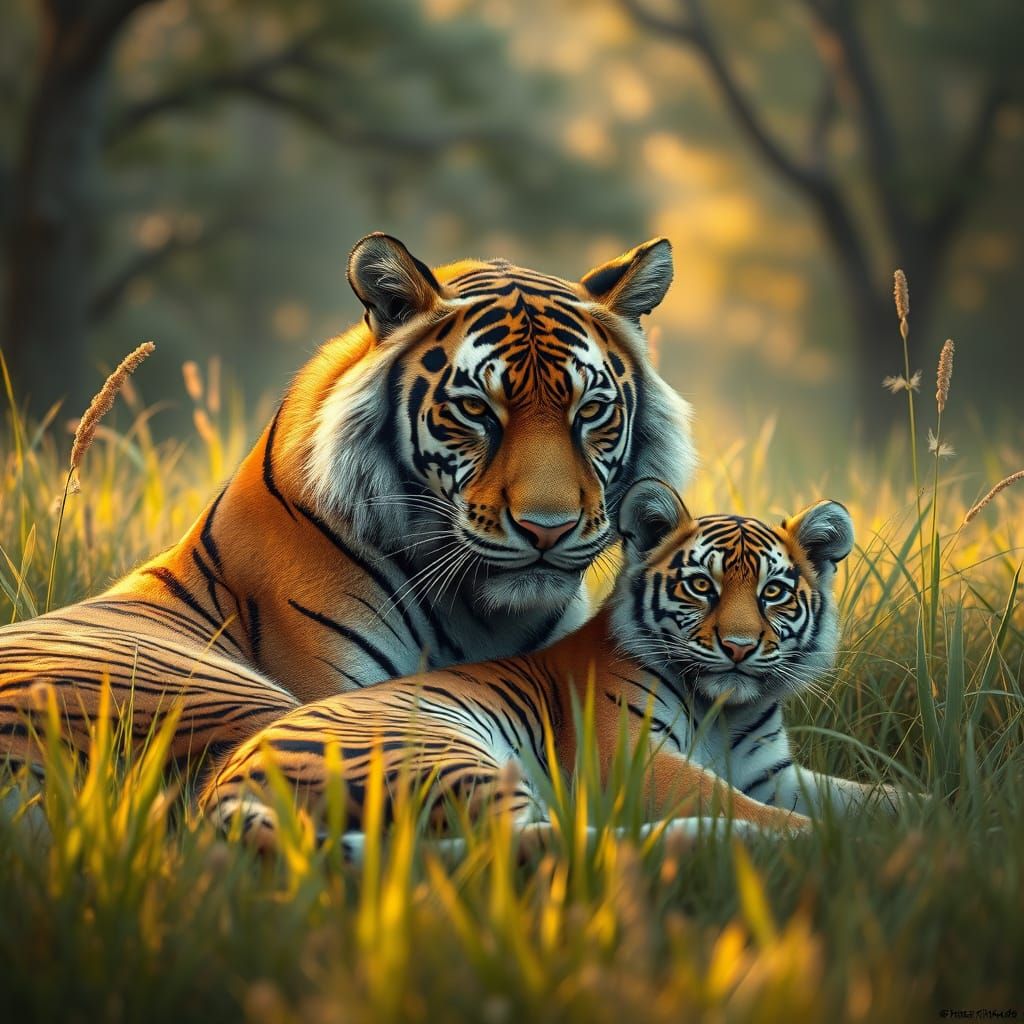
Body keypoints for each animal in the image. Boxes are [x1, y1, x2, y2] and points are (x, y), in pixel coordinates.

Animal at [199, 479, 909, 857]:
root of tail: (219, 790)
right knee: (534, 843)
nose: (738, 646)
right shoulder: (632, 758)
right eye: (701, 587)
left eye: (773, 593)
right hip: (449, 756)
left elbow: (866, 795)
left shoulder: (774, 774)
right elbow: (736, 800)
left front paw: (924, 816)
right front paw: (824, 837)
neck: (724, 710)